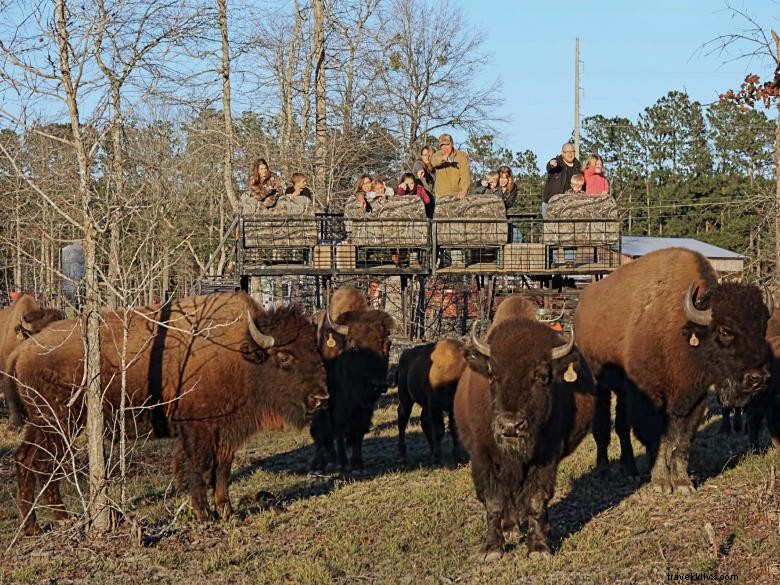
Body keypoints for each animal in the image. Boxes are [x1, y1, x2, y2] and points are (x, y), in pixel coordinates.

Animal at [454, 302, 596, 556]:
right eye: (492, 374)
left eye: (542, 376)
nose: (511, 425)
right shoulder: (483, 457)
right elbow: (493, 501)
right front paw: (492, 549)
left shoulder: (546, 457)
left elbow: (536, 500)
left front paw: (539, 547)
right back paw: (510, 528)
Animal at [576, 248, 772, 492]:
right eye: (725, 331)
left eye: (762, 328)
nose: (758, 378)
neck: (684, 332)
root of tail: (582, 304)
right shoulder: (650, 399)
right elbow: (658, 440)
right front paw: (661, 483)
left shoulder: (694, 399)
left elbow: (682, 441)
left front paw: (682, 483)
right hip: (598, 383)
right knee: (602, 426)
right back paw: (603, 469)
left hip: (622, 391)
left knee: (621, 426)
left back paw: (630, 470)